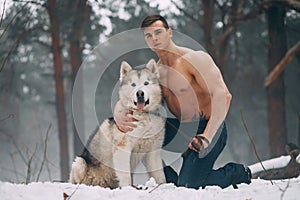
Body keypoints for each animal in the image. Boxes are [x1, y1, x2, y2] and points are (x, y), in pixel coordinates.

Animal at [69, 58, 165, 188]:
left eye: (146, 83)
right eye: (133, 85)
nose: (140, 93)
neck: (142, 116)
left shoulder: (153, 152)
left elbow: (159, 175)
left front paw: (164, 186)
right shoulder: (123, 149)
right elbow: (125, 176)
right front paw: (127, 189)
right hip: (79, 162)